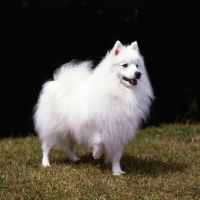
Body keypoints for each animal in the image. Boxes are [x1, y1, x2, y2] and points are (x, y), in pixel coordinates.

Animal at [33, 41, 154, 175]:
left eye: (137, 66)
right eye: (125, 65)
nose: (138, 74)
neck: (119, 91)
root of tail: (60, 83)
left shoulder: (119, 132)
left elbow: (116, 156)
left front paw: (117, 171)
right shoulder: (91, 124)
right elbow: (98, 140)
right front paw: (96, 154)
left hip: (71, 129)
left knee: (70, 145)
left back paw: (73, 158)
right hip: (53, 128)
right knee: (46, 147)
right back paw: (46, 163)